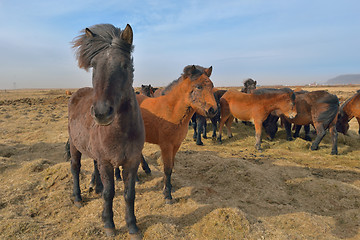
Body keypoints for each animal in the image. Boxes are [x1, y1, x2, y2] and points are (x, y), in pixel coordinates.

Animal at [67, 23, 143, 237]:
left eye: (125, 65)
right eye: (94, 66)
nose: (101, 113)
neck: (121, 132)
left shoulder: (132, 161)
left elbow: (129, 194)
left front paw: (132, 226)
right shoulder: (107, 163)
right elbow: (110, 194)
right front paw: (109, 224)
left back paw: (96, 187)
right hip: (75, 147)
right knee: (75, 168)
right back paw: (78, 198)